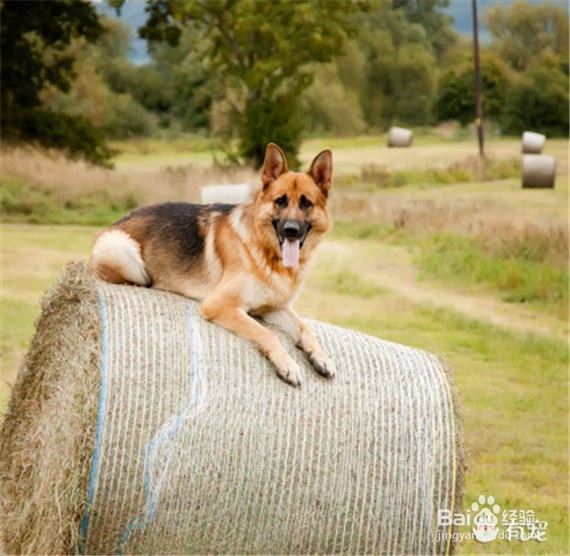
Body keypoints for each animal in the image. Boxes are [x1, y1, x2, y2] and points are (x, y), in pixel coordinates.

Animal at [87, 144, 332, 386]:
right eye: (280, 201)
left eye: (306, 203)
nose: (291, 230)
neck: (266, 251)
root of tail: (113, 225)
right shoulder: (221, 305)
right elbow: (266, 333)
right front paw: (288, 365)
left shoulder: (275, 308)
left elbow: (305, 328)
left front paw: (321, 356)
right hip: (121, 250)